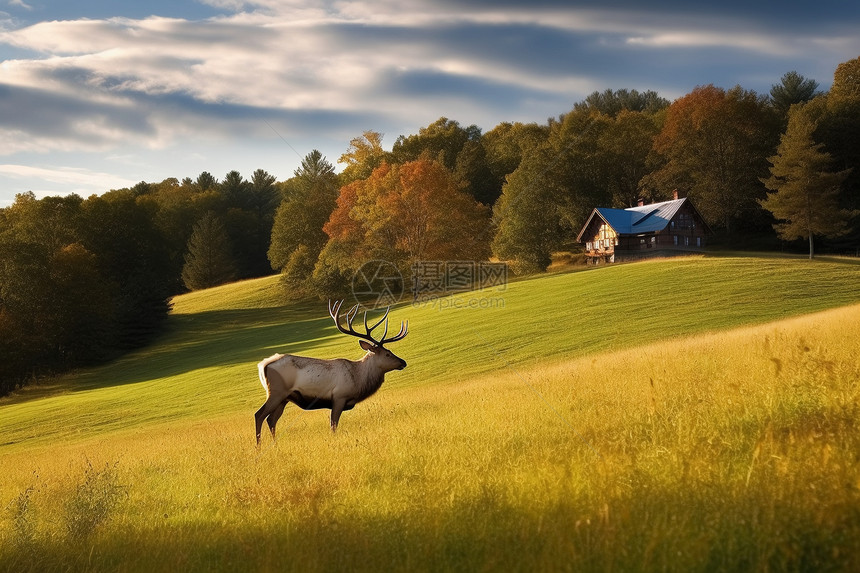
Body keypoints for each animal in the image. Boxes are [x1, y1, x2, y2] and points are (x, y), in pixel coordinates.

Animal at [254, 300, 408, 442]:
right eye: (387, 354)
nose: (403, 362)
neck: (358, 378)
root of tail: (262, 365)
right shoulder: (339, 397)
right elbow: (333, 425)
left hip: (284, 398)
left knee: (271, 419)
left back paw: (274, 444)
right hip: (276, 392)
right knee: (259, 415)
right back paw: (259, 447)